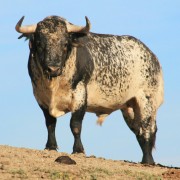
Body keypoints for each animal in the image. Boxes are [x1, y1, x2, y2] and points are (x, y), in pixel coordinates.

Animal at [15, 15, 164, 165]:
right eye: (39, 44)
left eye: (65, 44)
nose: (53, 68)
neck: (54, 85)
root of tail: (152, 56)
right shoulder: (41, 98)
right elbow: (50, 124)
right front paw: (50, 146)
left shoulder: (80, 96)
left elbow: (75, 125)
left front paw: (78, 150)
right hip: (129, 107)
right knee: (138, 130)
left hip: (147, 101)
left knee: (147, 129)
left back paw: (148, 161)